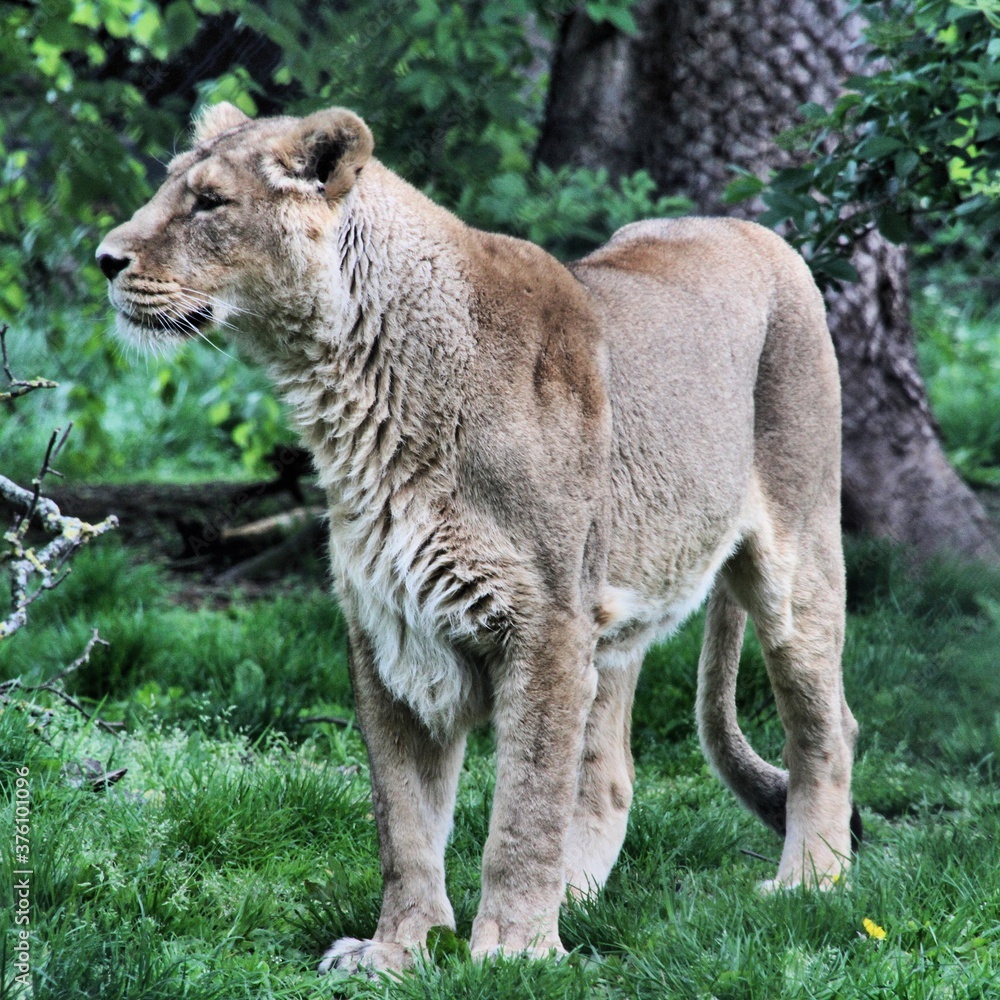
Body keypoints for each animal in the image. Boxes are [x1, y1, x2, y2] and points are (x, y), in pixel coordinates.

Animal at [97, 103, 860, 972]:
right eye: (171, 188)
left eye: (210, 202)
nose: (104, 259)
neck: (351, 387)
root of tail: (750, 226)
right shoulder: (389, 626)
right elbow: (404, 819)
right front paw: (399, 950)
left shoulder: (547, 623)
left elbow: (523, 805)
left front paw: (515, 951)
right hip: (617, 605)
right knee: (608, 774)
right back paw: (579, 899)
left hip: (796, 556)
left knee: (828, 727)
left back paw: (809, 882)